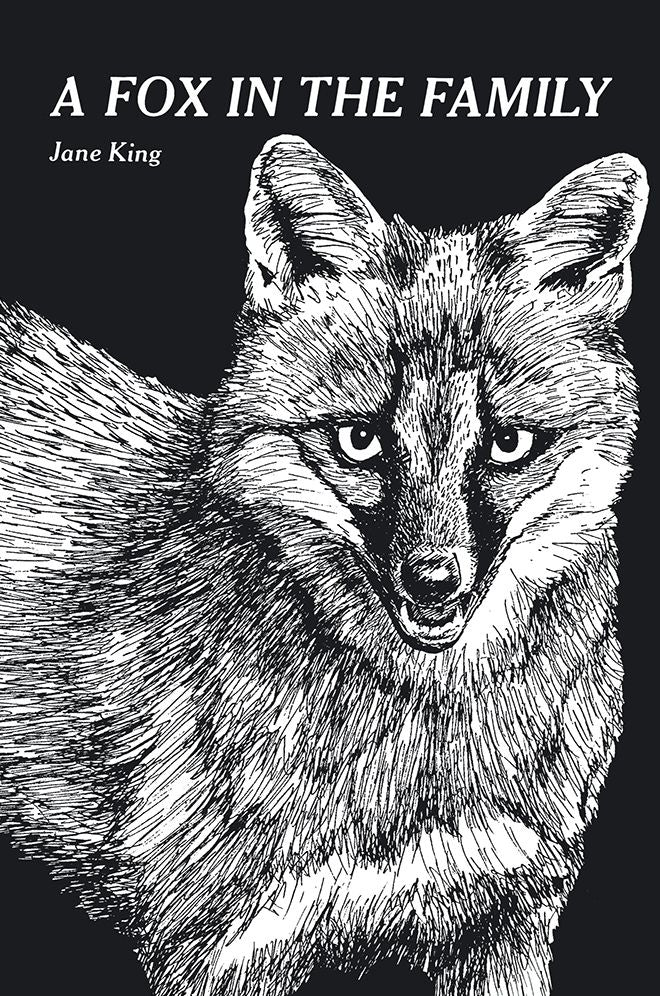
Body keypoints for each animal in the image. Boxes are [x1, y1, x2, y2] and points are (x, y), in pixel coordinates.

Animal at [0, 136, 648, 996]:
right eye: (359, 440)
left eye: (508, 443)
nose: (433, 581)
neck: (421, 758)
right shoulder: (222, 953)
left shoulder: (510, 923)